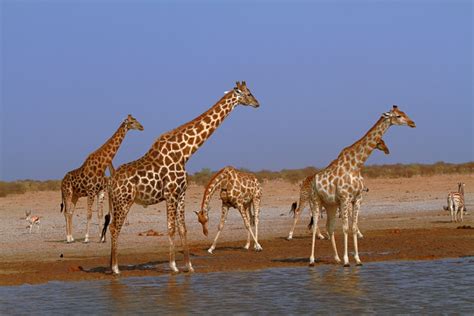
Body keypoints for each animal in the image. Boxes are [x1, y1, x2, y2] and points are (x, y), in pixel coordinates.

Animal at [60, 115, 143, 243]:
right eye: (132, 122)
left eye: (135, 119)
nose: (141, 127)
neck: (101, 166)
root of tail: (61, 182)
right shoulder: (91, 191)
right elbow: (89, 214)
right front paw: (86, 238)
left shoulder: (101, 191)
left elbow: (99, 214)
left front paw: (101, 237)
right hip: (67, 193)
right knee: (66, 212)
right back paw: (68, 238)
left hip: (75, 195)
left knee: (70, 212)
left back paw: (72, 237)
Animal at [101, 81, 262, 274]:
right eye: (248, 93)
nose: (257, 103)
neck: (184, 153)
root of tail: (111, 182)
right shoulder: (171, 193)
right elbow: (170, 229)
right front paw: (173, 266)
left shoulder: (181, 193)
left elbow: (183, 229)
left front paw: (189, 266)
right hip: (124, 201)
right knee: (115, 227)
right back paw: (116, 268)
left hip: (117, 201)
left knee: (112, 226)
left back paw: (110, 265)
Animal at [308, 106, 414, 266]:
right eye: (398, 116)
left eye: (404, 113)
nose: (412, 123)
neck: (356, 166)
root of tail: (313, 179)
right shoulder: (345, 198)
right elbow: (345, 228)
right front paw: (347, 260)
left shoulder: (357, 199)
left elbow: (353, 227)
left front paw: (357, 259)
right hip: (316, 201)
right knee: (315, 227)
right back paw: (312, 260)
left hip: (330, 204)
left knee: (329, 227)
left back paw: (336, 258)